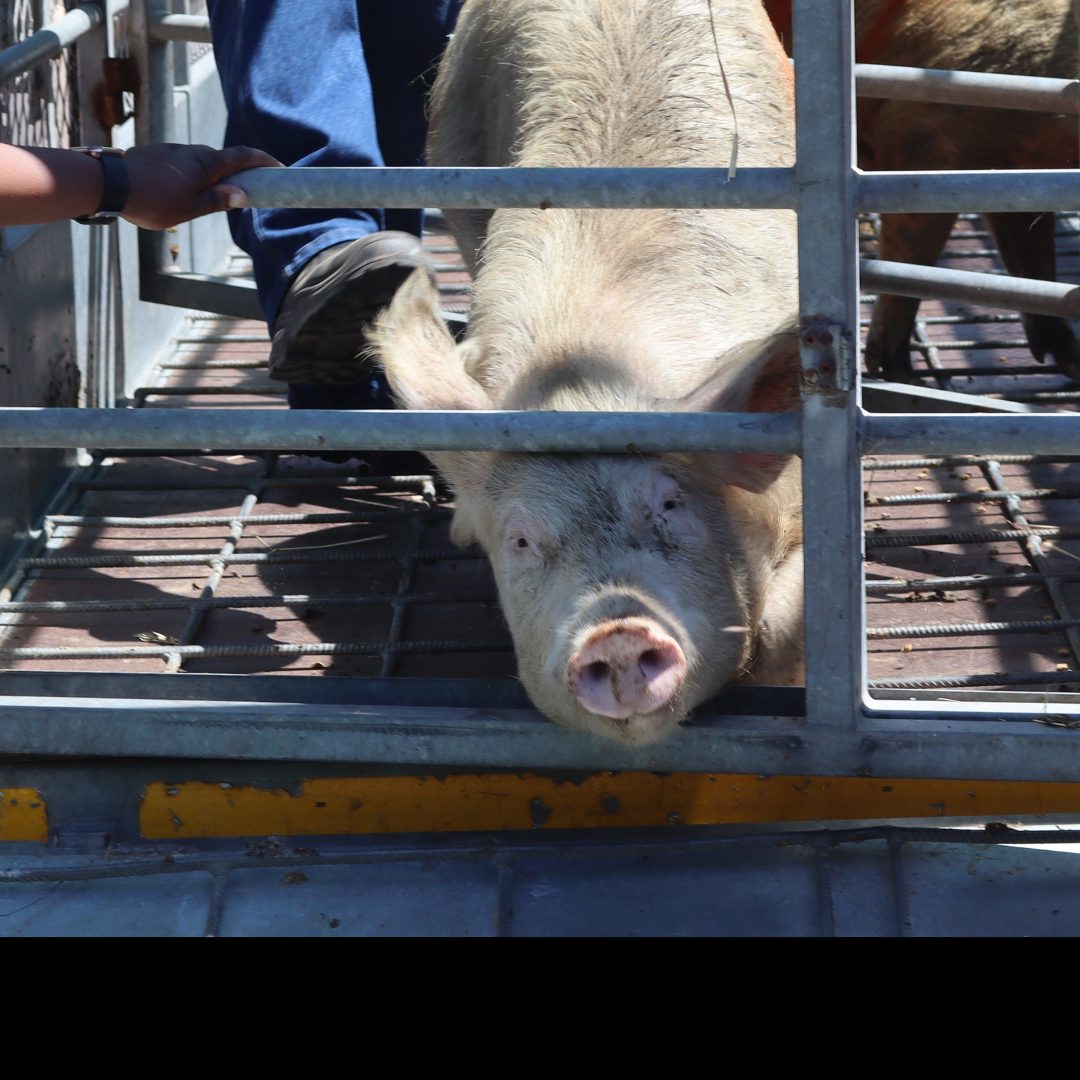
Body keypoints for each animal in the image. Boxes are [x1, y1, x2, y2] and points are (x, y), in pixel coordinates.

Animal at [767, 0, 1080, 383]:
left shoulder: (1020, 175)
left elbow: (1035, 264)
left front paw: (1073, 361)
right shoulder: (920, 141)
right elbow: (910, 267)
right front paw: (905, 377)